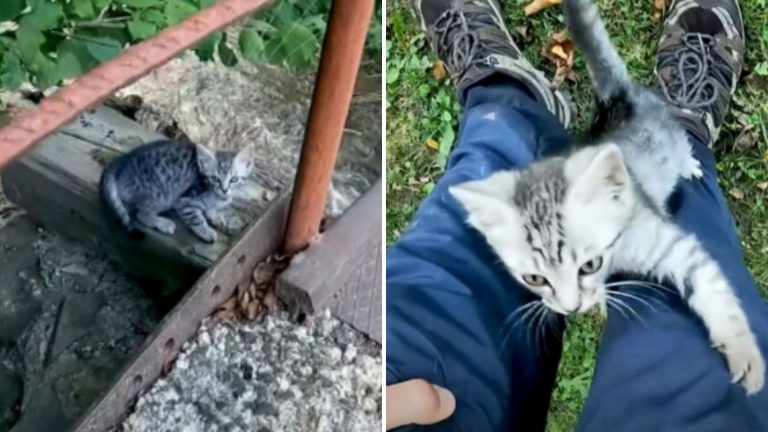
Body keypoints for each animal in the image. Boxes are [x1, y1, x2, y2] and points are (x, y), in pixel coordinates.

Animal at [100, 141, 252, 243]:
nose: (224, 189)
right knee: (140, 213)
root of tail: (121, 161)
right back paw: (162, 223)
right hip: (158, 194)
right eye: (215, 179)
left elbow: (210, 208)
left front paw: (214, 214)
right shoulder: (185, 200)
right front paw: (206, 231)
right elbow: (196, 218)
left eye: (234, 179)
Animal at [450, 0, 760, 394]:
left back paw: (689, 164)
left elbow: (713, 288)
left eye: (589, 264)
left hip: (672, 137)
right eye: (534, 279)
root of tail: (618, 99)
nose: (570, 307)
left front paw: (744, 353)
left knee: (683, 147)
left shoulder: (674, 245)